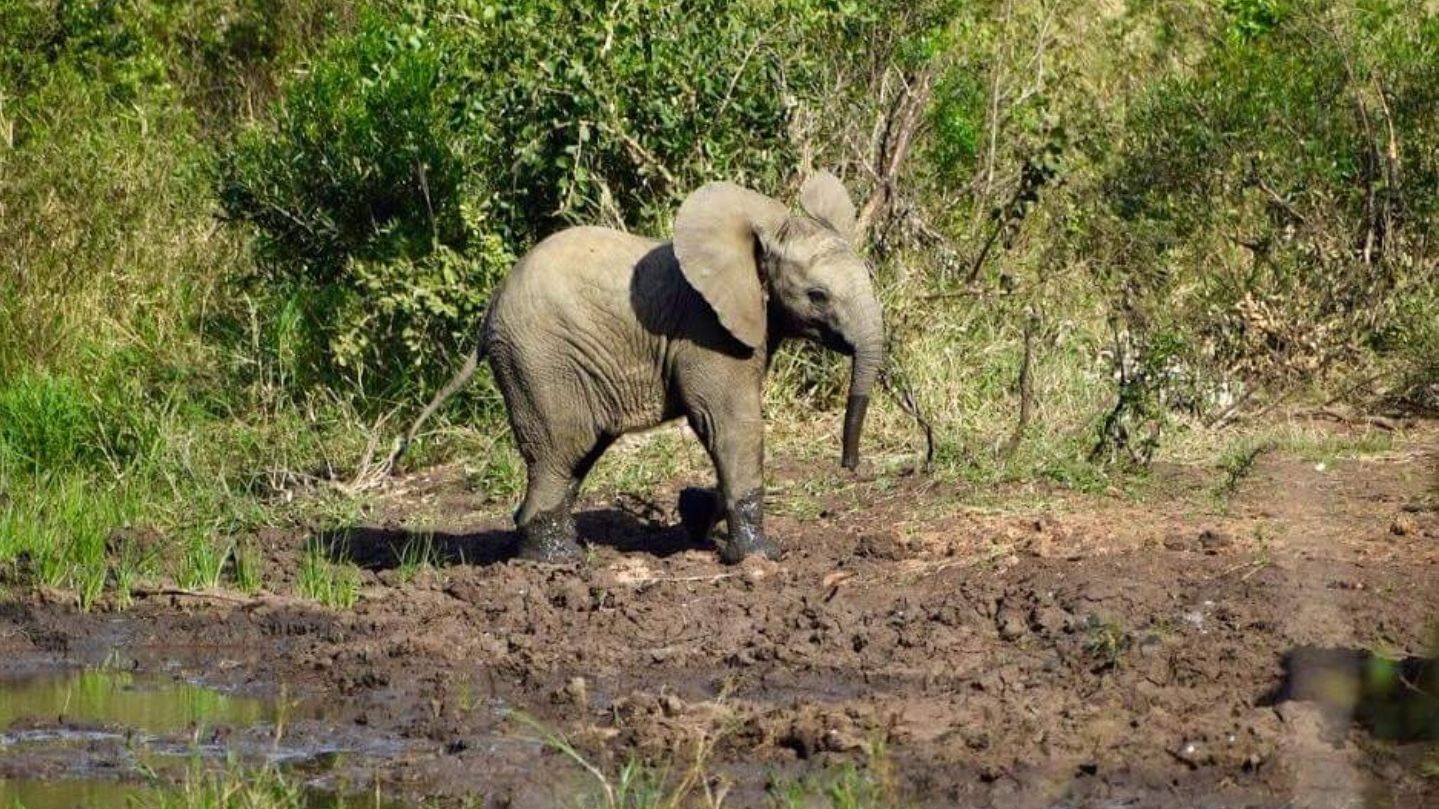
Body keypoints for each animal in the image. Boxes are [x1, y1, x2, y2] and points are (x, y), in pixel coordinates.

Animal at [401, 172, 885, 564]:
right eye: (818, 295)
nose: (849, 465)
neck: (762, 232)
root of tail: (489, 313)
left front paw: (694, 515)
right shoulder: (706, 330)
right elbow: (731, 423)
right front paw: (760, 556)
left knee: (576, 456)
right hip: (540, 358)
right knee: (561, 449)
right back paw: (558, 559)